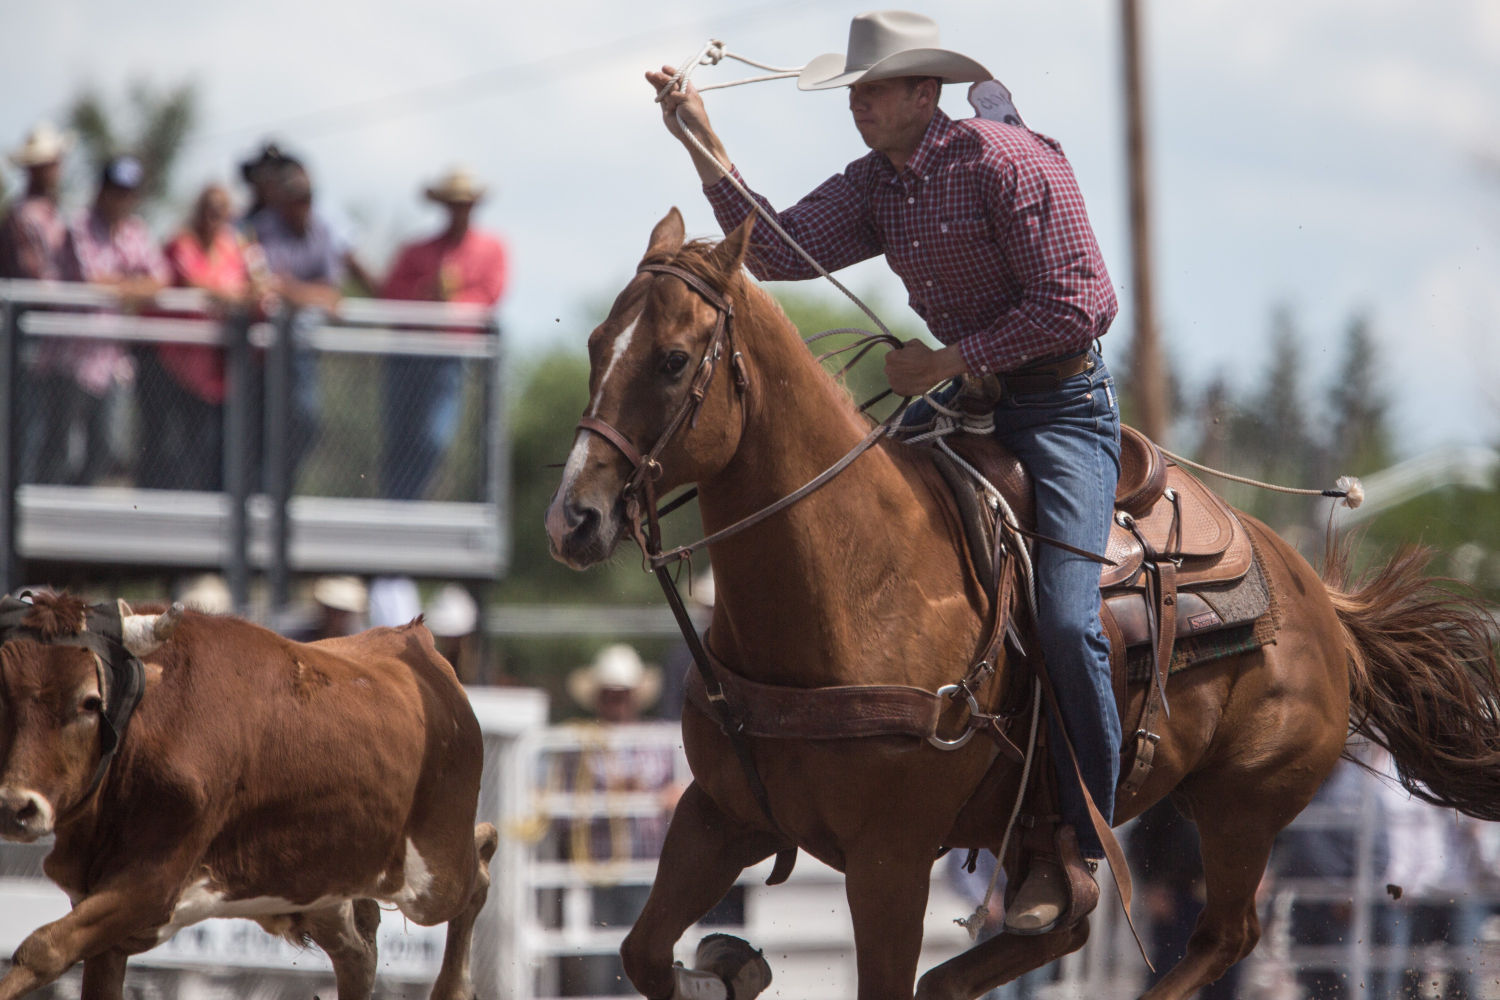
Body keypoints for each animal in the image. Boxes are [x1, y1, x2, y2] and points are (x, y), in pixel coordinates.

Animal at [549, 206, 1500, 995]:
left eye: (673, 360)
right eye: (595, 344)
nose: (574, 518)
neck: (853, 589)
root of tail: (1321, 605)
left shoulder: (890, 860)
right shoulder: (719, 814)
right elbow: (642, 951)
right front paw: (726, 967)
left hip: (1244, 802)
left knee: (1224, 936)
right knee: (1067, 924)